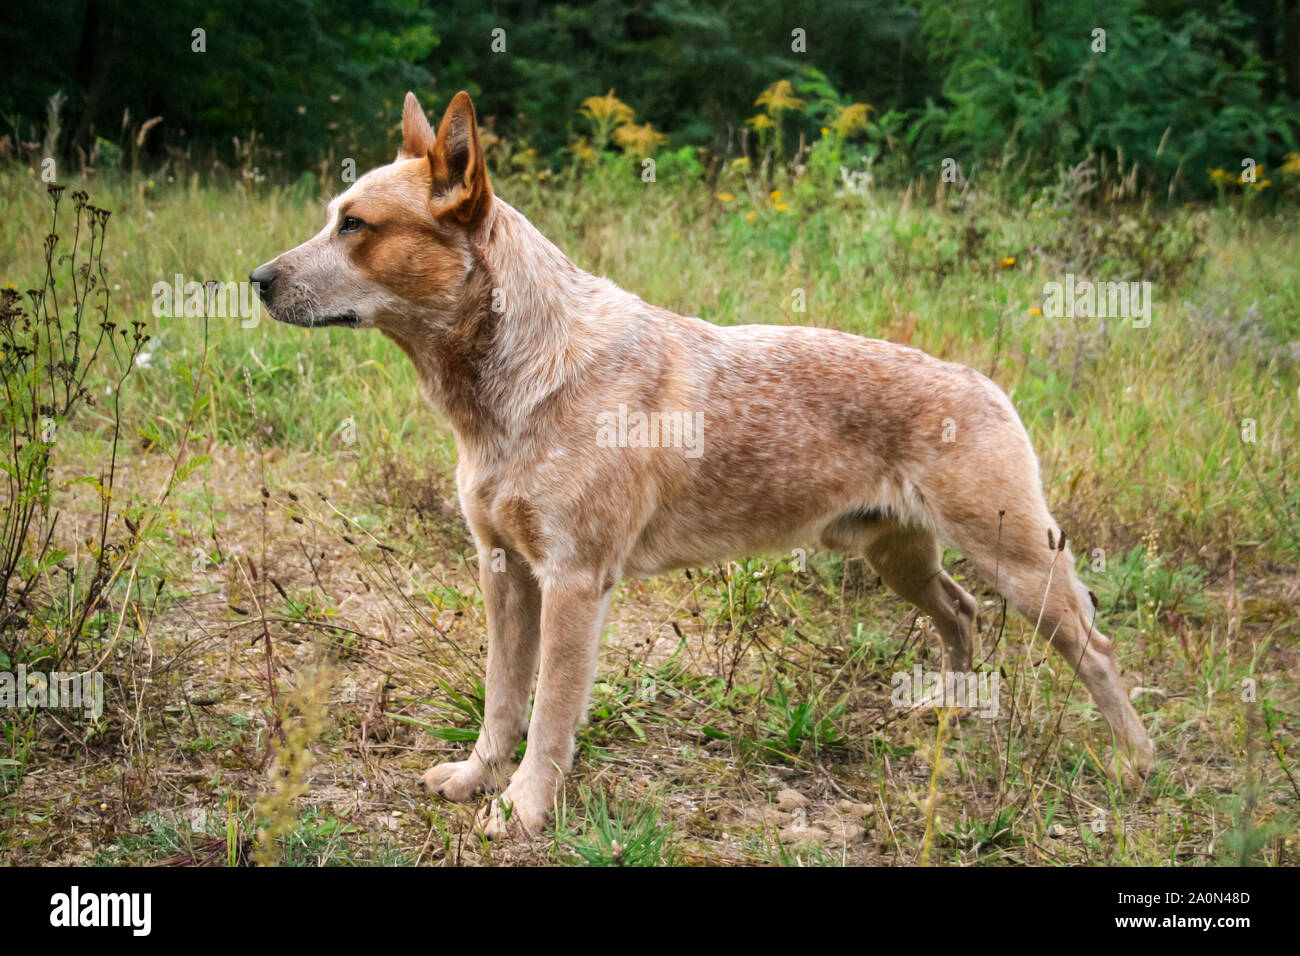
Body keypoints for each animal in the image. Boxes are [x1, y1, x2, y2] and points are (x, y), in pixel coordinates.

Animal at [248, 89, 1154, 837]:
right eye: (331, 217)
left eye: (355, 226)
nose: (255, 278)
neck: (516, 380)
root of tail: (981, 380)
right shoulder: (502, 568)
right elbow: (501, 700)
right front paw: (477, 780)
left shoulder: (574, 582)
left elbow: (549, 715)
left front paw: (524, 809)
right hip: (896, 554)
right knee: (961, 616)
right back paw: (948, 713)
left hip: (1018, 562)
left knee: (1098, 650)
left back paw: (1135, 763)